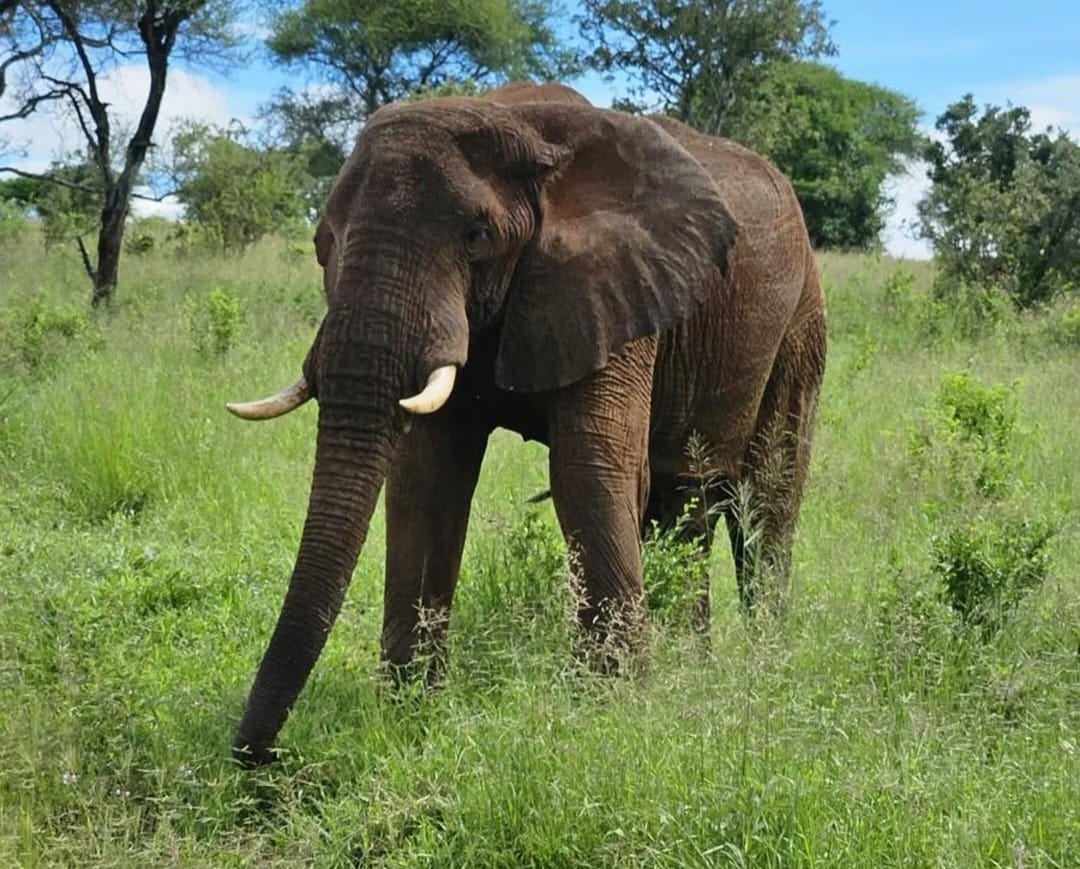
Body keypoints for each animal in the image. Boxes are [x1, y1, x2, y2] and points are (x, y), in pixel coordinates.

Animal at [225, 81, 826, 766]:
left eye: (477, 236)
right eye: (323, 243)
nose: (258, 757)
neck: (517, 124)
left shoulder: (612, 285)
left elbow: (588, 472)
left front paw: (616, 716)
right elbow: (428, 479)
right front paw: (411, 714)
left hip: (800, 316)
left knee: (769, 497)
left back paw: (762, 662)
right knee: (684, 504)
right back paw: (693, 671)